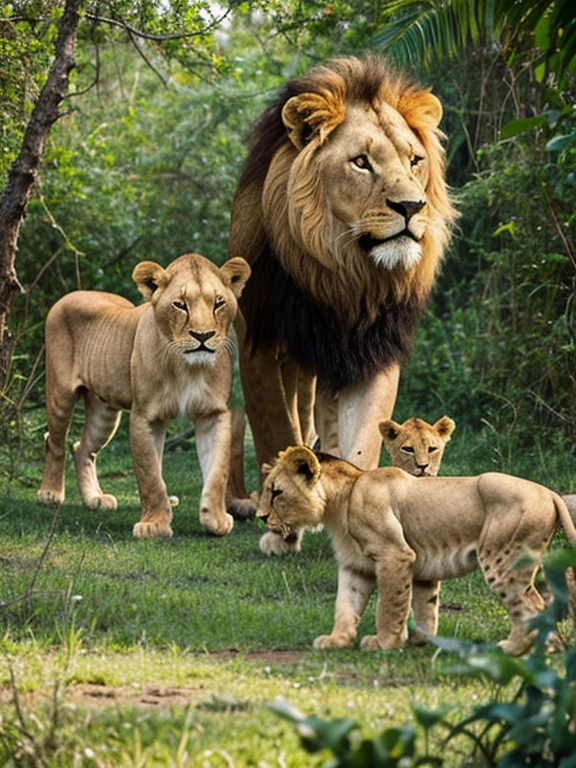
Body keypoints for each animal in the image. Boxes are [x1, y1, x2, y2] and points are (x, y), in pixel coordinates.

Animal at [36, 255, 250, 536]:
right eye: (180, 305)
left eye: (219, 303)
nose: (203, 336)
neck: (187, 368)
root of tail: (70, 294)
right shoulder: (145, 416)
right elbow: (150, 475)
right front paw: (154, 525)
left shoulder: (213, 413)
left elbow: (218, 471)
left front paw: (216, 520)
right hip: (59, 392)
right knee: (55, 441)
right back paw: (50, 493)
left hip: (104, 410)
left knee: (83, 449)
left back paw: (95, 499)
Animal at [230, 55, 460, 552]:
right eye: (361, 163)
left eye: (415, 161)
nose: (412, 206)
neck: (345, 276)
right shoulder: (260, 341)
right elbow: (275, 428)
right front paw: (281, 525)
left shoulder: (373, 348)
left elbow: (362, 438)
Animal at [256, 438, 576, 656]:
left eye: (276, 492)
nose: (260, 517)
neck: (341, 501)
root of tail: (549, 493)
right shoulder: (357, 566)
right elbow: (350, 604)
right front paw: (338, 640)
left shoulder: (395, 554)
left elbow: (389, 605)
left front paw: (385, 643)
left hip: (502, 559)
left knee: (532, 605)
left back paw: (514, 649)